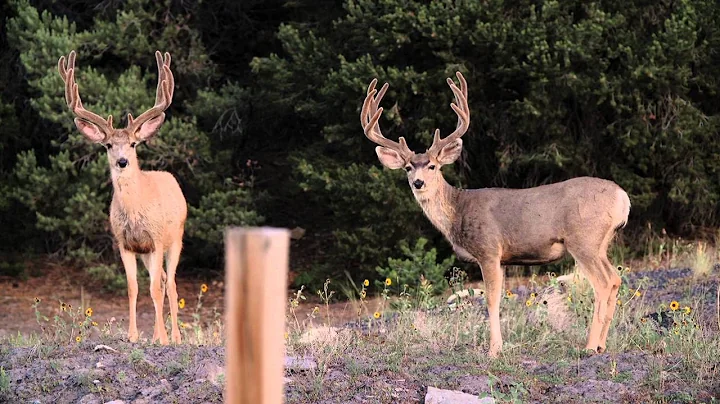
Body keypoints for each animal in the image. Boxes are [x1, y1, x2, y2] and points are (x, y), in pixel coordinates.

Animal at [58, 50, 187, 345]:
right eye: (108, 145)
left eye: (133, 143)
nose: (122, 161)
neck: (135, 209)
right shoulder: (125, 243)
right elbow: (133, 288)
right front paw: (133, 336)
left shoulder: (156, 239)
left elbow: (155, 289)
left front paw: (163, 339)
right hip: (147, 253)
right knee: (161, 280)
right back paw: (158, 332)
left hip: (175, 238)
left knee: (171, 284)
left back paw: (174, 336)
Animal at [360, 72, 631, 357]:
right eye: (408, 168)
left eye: (432, 166)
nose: (418, 182)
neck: (459, 210)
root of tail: (622, 197)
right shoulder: (501, 258)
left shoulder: (489, 249)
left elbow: (491, 299)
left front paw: (494, 349)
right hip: (601, 243)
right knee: (615, 279)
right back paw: (601, 344)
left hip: (583, 239)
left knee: (603, 282)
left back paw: (589, 346)